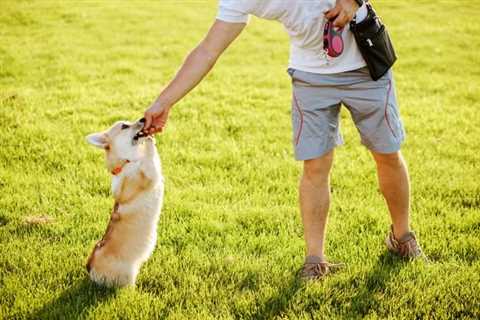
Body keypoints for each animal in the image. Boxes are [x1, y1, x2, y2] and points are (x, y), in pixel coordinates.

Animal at [84, 119, 163, 286]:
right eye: (124, 126)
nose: (143, 119)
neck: (126, 162)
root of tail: (90, 268)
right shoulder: (149, 176)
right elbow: (150, 158)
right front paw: (149, 140)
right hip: (128, 274)